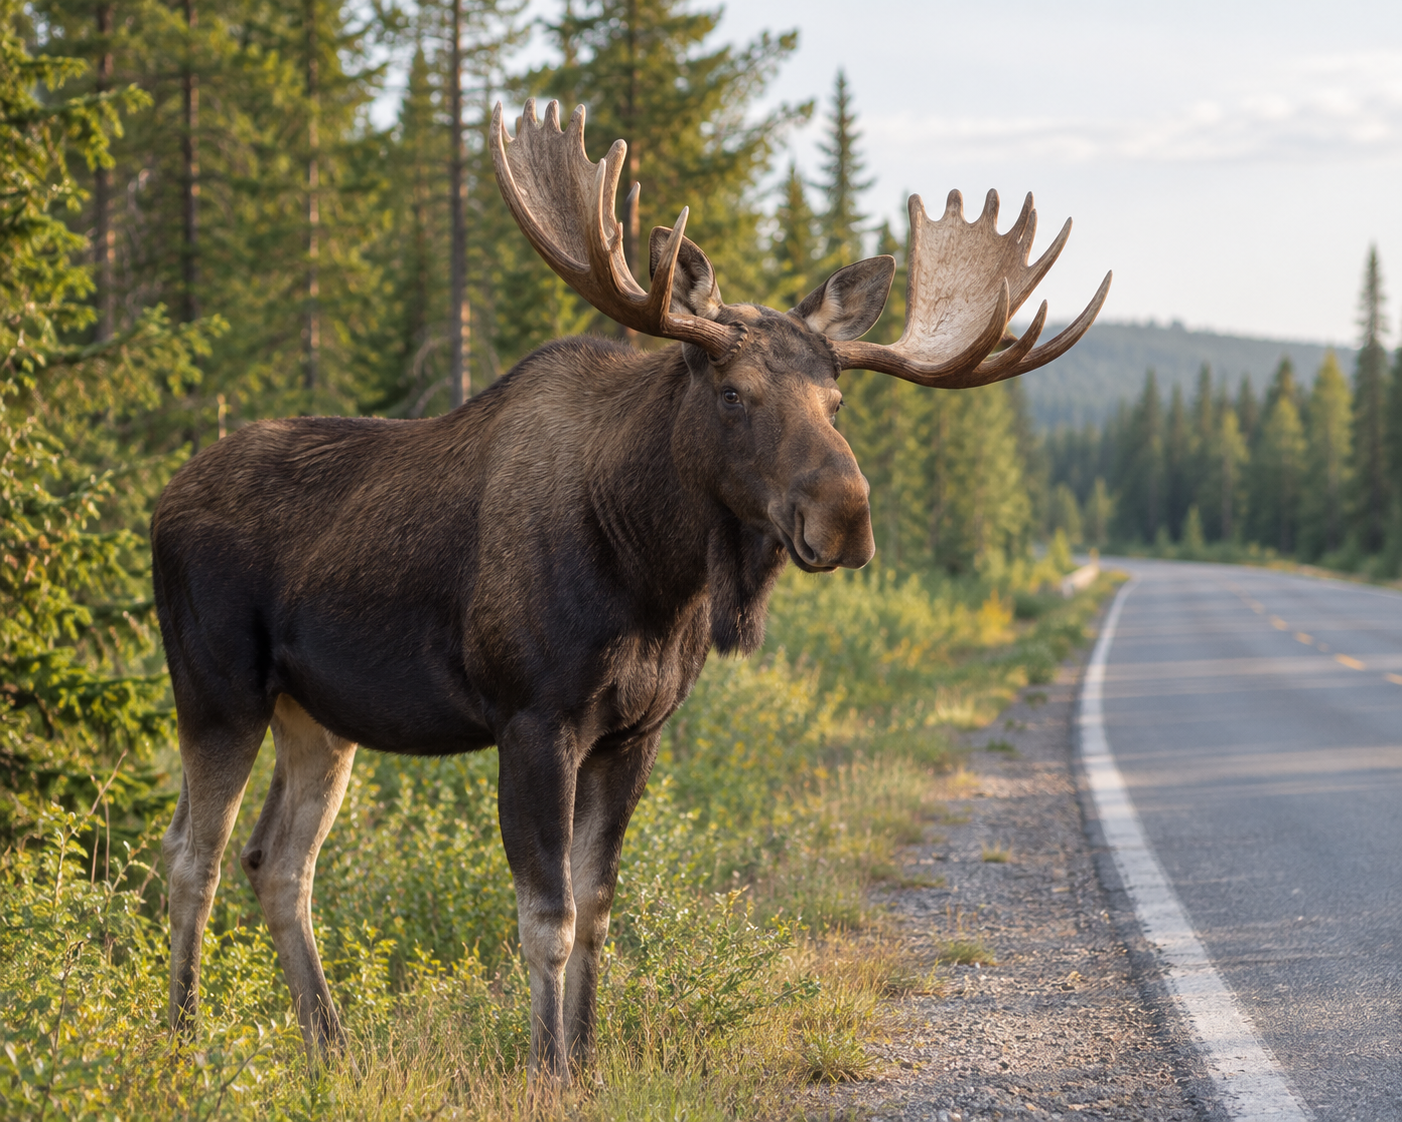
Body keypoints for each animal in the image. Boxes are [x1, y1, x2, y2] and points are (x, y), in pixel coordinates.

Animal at [152, 98, 1110, 1084]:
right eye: (733, 393)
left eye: (837, 403)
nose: (847, 513)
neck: (655, 576)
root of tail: (159, 499)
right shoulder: (533, 721)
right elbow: (548, 919)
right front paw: (544, 1069)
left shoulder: (635, 733)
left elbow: (599, 912)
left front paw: (584, 1060)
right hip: (217, 689)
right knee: (191, 856)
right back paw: (182, 1040)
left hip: (320, 717)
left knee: (278, 862)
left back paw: (331, 1045)